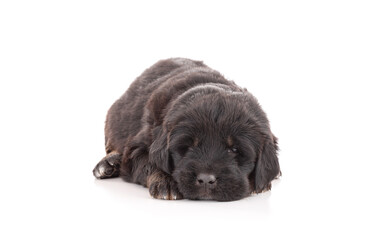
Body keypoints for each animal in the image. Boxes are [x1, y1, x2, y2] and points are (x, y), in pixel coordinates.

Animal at [93, 57, 280, 201]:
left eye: (234, 149)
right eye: (188, 146)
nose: (206, 180)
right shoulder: (138, 147)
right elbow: (149, 162)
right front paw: (166, 183)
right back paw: (109, 163)